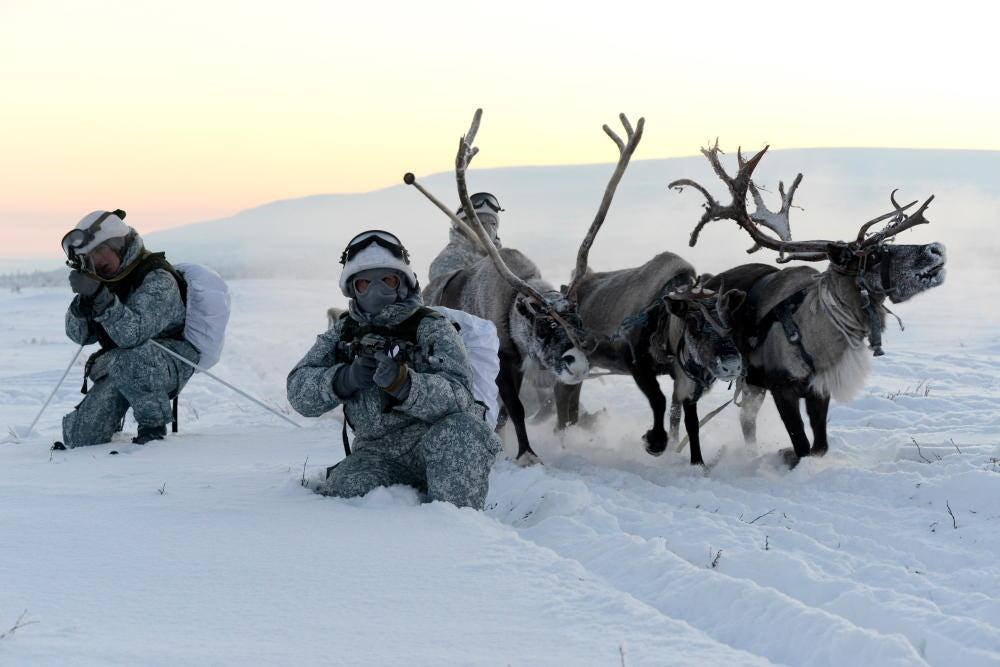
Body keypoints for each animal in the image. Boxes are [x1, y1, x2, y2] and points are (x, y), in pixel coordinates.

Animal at [407, 109, 640, 464]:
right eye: (543, 326)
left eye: (578, 321)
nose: (578, 363)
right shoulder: (504, 362)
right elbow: (514, 408)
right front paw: (526, 454)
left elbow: (526, 411)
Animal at [671, 144, 947, 467]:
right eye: (874, 255)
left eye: (887, 244)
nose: (936, 249)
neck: (816, 336)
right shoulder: (782, 387)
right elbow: (802, 443)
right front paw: (786, 454)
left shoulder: (818, 389)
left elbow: (819, 445)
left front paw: (787, 454)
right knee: (682, 406)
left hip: (750, 383)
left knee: (745, 419)